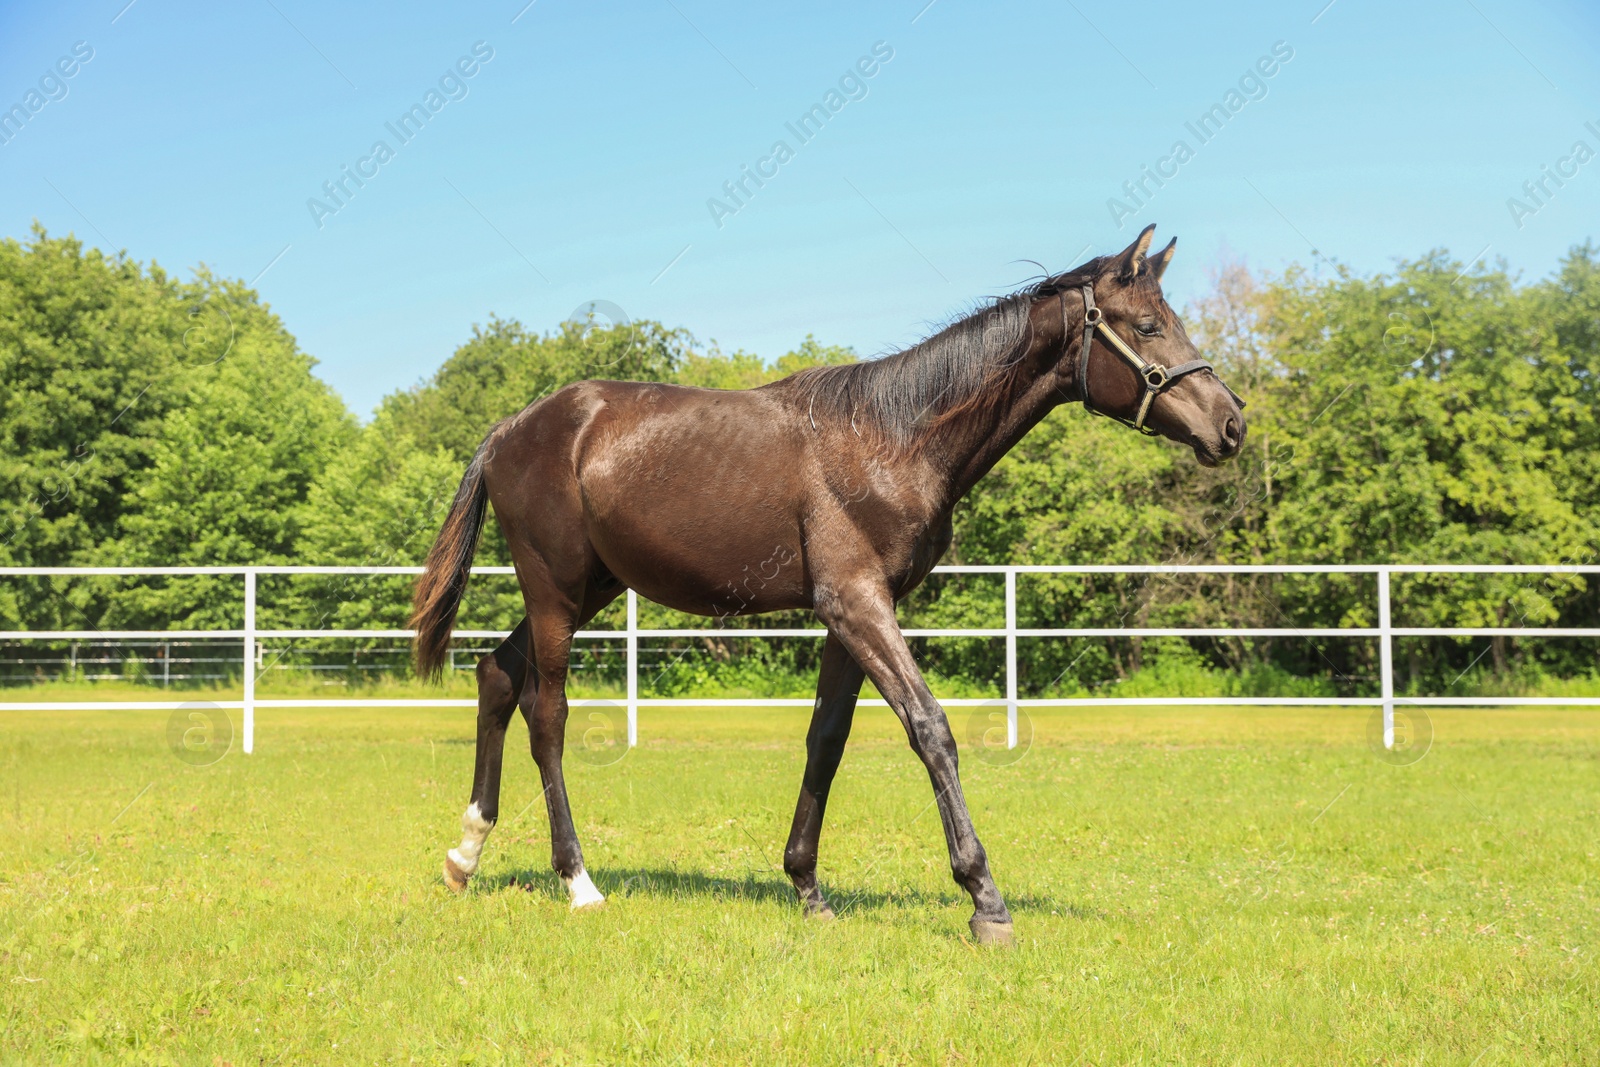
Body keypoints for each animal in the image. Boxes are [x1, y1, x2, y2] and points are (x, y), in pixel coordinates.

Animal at [406, 223, 1241, 940]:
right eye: (1147, 325)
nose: (1231, 422)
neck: (894, 438)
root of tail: (510, 429)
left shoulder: (852, 613)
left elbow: (826, 741)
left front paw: (807, 886)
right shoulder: (857, 603)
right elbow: (930, 728)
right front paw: (984, 899)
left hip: (590, 587)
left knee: (495, 675)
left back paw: (465, 855)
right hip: (555, 587)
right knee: (547, 716)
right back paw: (578, 880)